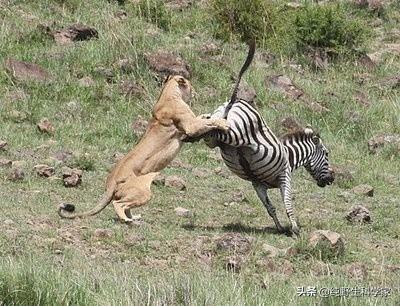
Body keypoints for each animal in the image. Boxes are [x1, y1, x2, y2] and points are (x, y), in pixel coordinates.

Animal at [200, 100, 334, 234]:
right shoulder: (285, 176)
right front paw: (295, 230)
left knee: (211, 129)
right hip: (236, 133)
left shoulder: (258, 184)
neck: (289, 156)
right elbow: (288, 204)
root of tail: (234, 101)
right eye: (326, 154)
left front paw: (280, 228)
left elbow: (270, 208)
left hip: (214, 134)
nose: (331, 179)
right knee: (215, 131)